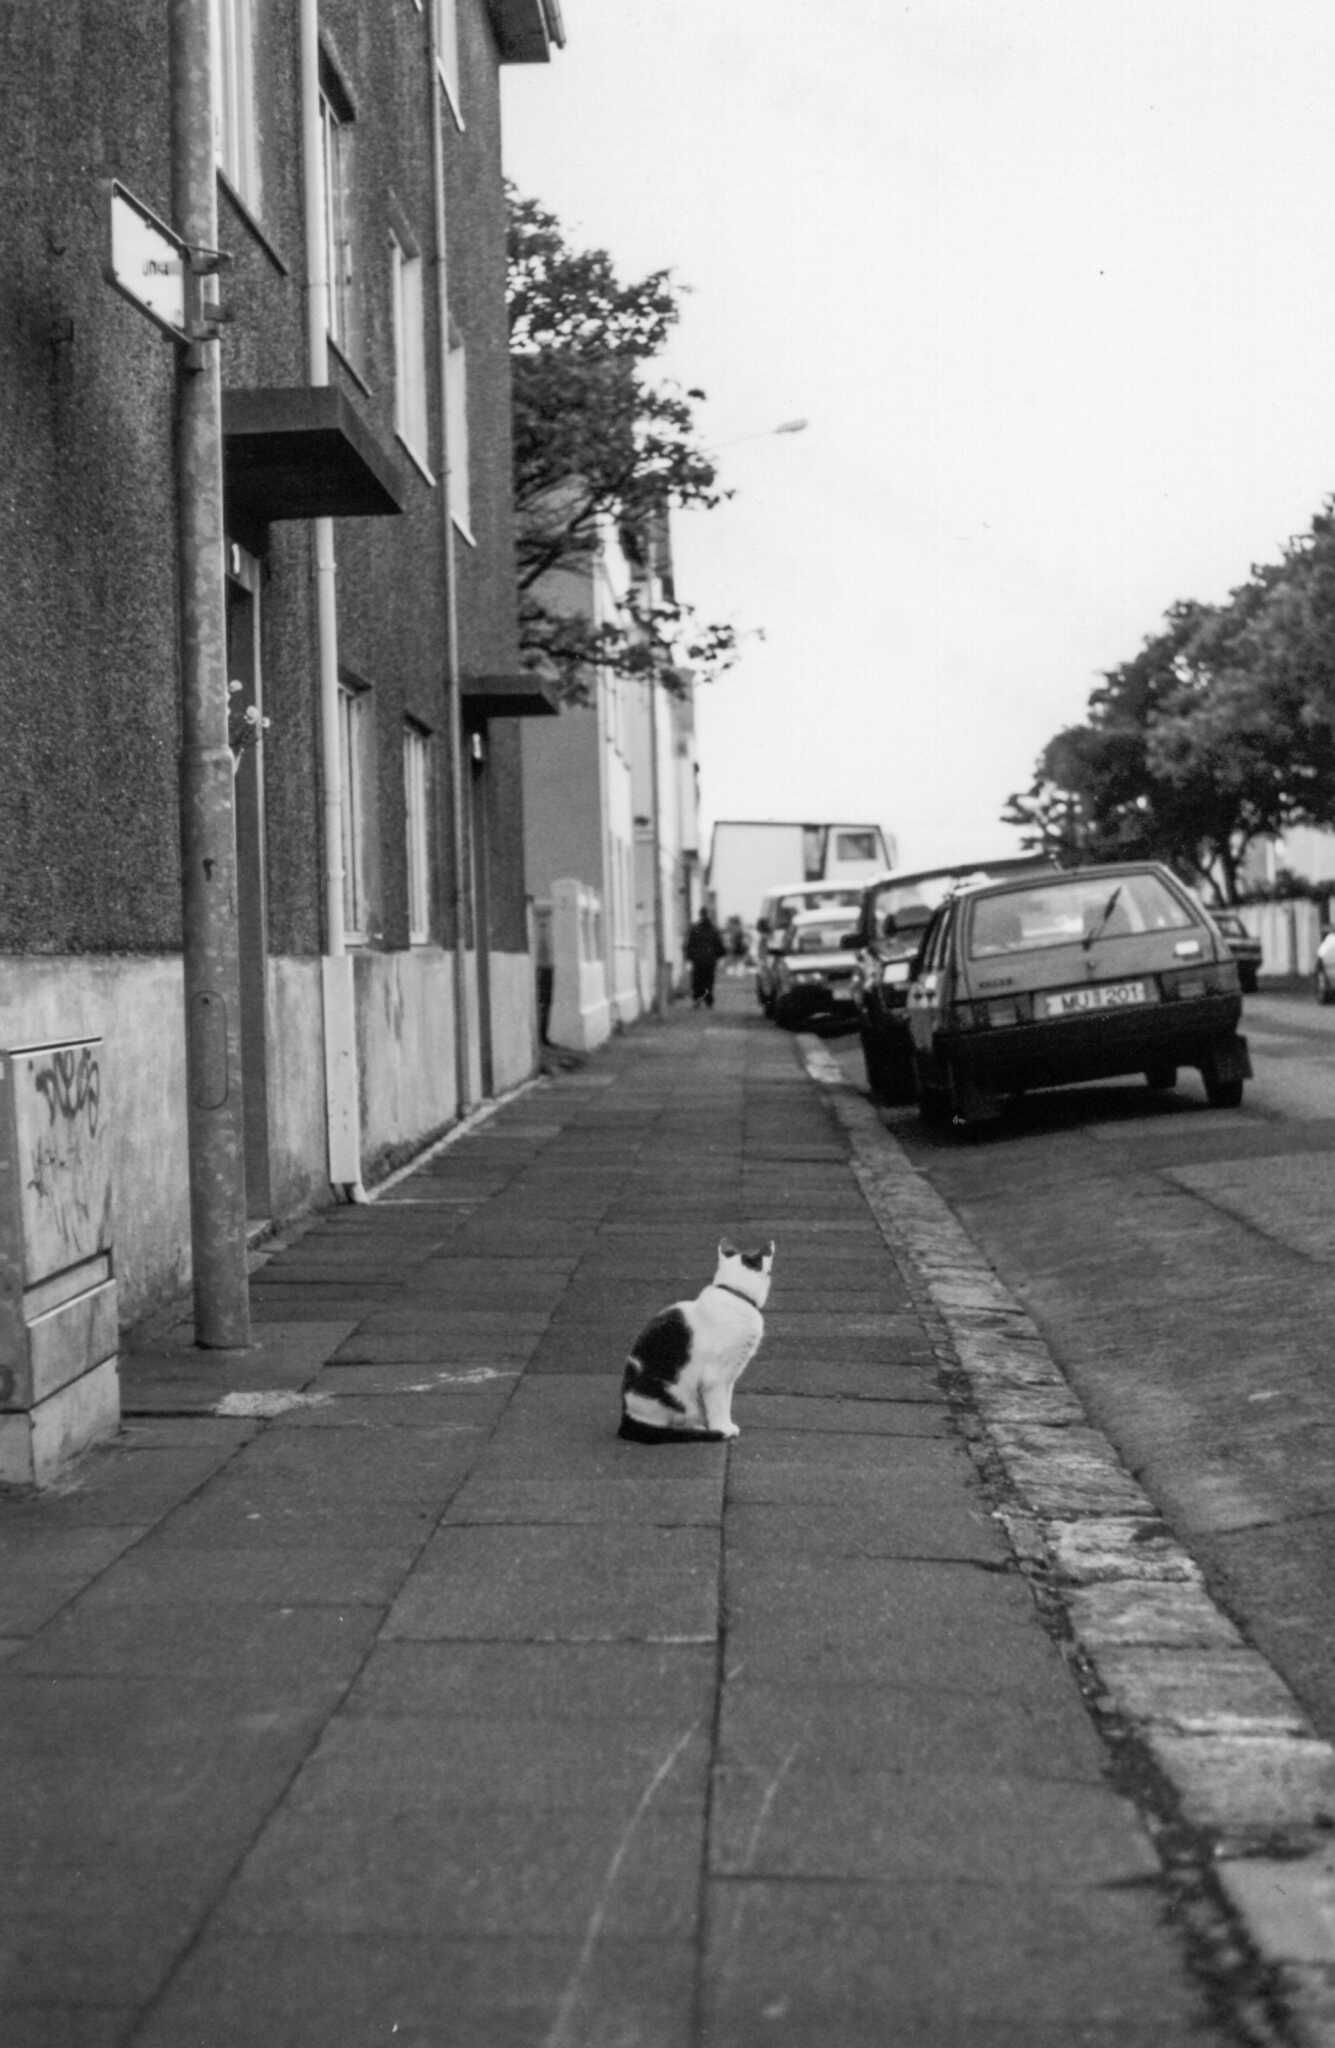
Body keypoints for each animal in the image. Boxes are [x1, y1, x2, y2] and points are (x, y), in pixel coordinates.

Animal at [614, 1236, 769, 1449]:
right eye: (761, 1256)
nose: (770, 1245)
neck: (734, 1295)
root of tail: (625, 1417)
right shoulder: (716, 1378)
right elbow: (719, 1405)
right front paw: (723, 1429)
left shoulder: (730, 1376)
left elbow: (726, 1403)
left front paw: (726, 1424)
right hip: (674, 1396)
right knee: (665, 1426)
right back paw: (699, 1430)